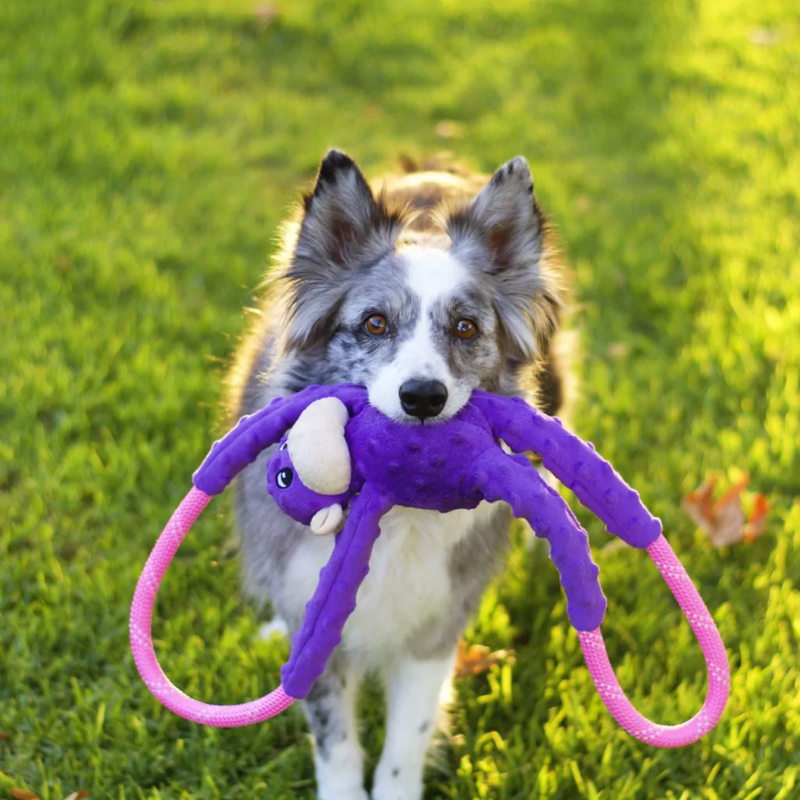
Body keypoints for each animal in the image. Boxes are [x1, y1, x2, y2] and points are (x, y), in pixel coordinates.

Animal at [227, 150, 568, 800]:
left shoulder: (433, 627)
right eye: (375, 324)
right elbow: (335, 741)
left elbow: (405, 741)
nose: (424, 397)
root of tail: (433, 165)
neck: (395, 511)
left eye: (465, 328)